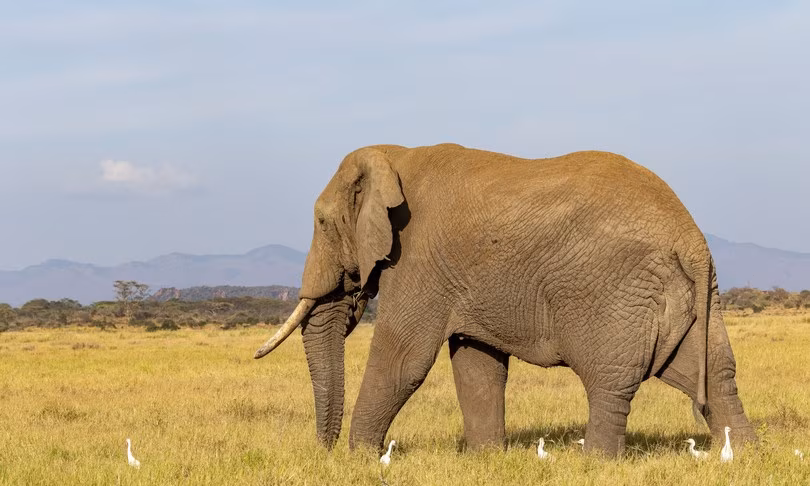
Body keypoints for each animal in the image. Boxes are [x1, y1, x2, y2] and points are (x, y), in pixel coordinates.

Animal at [254, 143, 756, 457]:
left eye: (321, 222)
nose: (322, 453)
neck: (394, 156)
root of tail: (689, 236)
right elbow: (477, 363)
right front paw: (486, 459)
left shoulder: (418, 259)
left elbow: (403, 360)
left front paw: (358, 459)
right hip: (695, 295)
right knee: (713, 372)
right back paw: (743, 454)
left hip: (613, 291)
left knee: (609, 379)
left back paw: (596, 464)